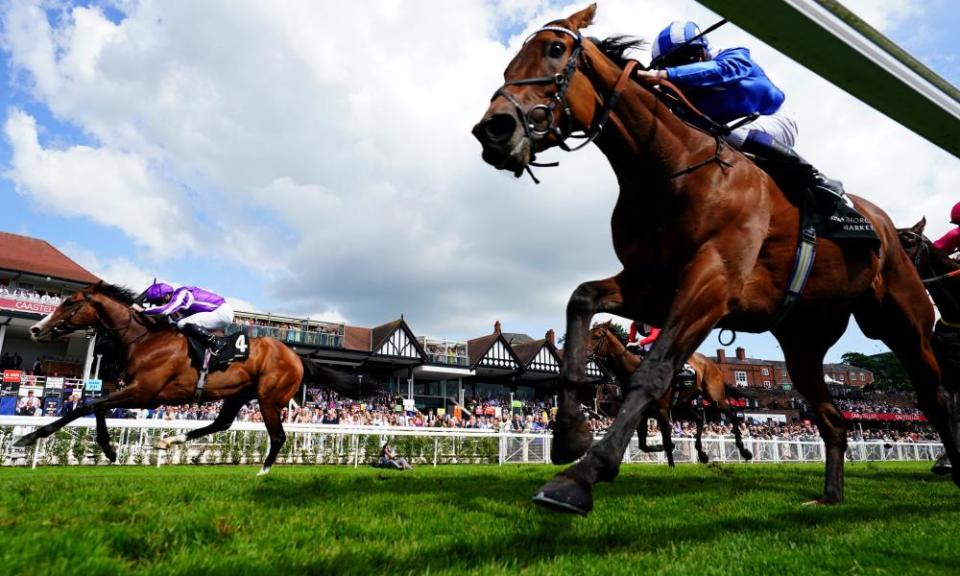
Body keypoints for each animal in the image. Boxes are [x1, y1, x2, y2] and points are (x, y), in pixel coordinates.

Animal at [15, 282, 368, 474]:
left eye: (69, 303)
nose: (36, 329)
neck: (145, 338)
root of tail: (297, 356)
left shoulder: (145, 392)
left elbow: (87, 406)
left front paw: (30, 436)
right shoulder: (139, 392)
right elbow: (98, 406)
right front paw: (110, 449)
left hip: (269, 399)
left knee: (278, 436)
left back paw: (263, 471)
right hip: (239, 393)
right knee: (221, 423)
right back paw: (170, 440)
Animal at [584, 322, 752, 466]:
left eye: (597, 336)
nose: (582, 354)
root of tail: (711, 363)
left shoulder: (662, 409)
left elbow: (665, 438)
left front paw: (671, 466)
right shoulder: (642, 412)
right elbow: (643, 444)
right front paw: (660, 449)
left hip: (715, 397)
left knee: (732, 415)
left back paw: (744, 451)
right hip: (684, 403)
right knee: (699, 419)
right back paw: (702, 454)